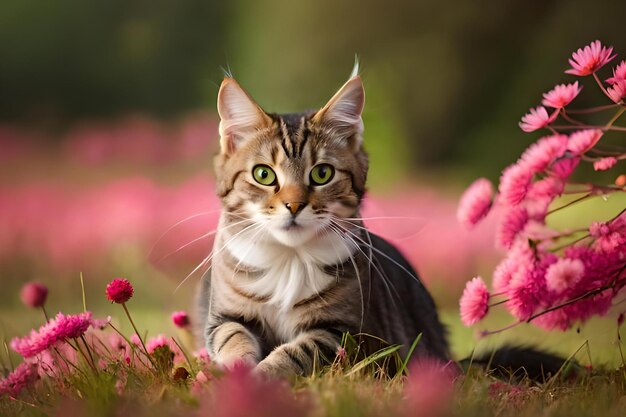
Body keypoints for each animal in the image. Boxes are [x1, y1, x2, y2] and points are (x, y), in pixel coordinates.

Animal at [195, 69, 448, 376]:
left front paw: (264, 375)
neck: (289, 260)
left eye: (322, 174)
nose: (294, 205)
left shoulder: (345, 333)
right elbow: (232, 337)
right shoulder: (224, 318)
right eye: (263, 174)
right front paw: (236, 374)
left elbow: (297, 352)